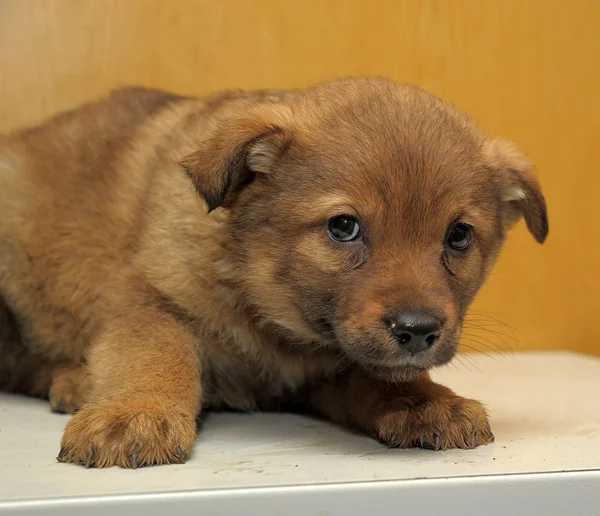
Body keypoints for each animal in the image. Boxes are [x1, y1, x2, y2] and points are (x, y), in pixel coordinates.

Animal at [0, 76, 548, 468]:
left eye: (458, 235)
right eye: (343, 226)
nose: (417, 331)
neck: (267, 312)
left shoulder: (325, 372)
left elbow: (373, 375)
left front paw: (419, 401)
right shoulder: (150, 300)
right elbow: (154, 355)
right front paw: (135, 412)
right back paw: (75, 381)